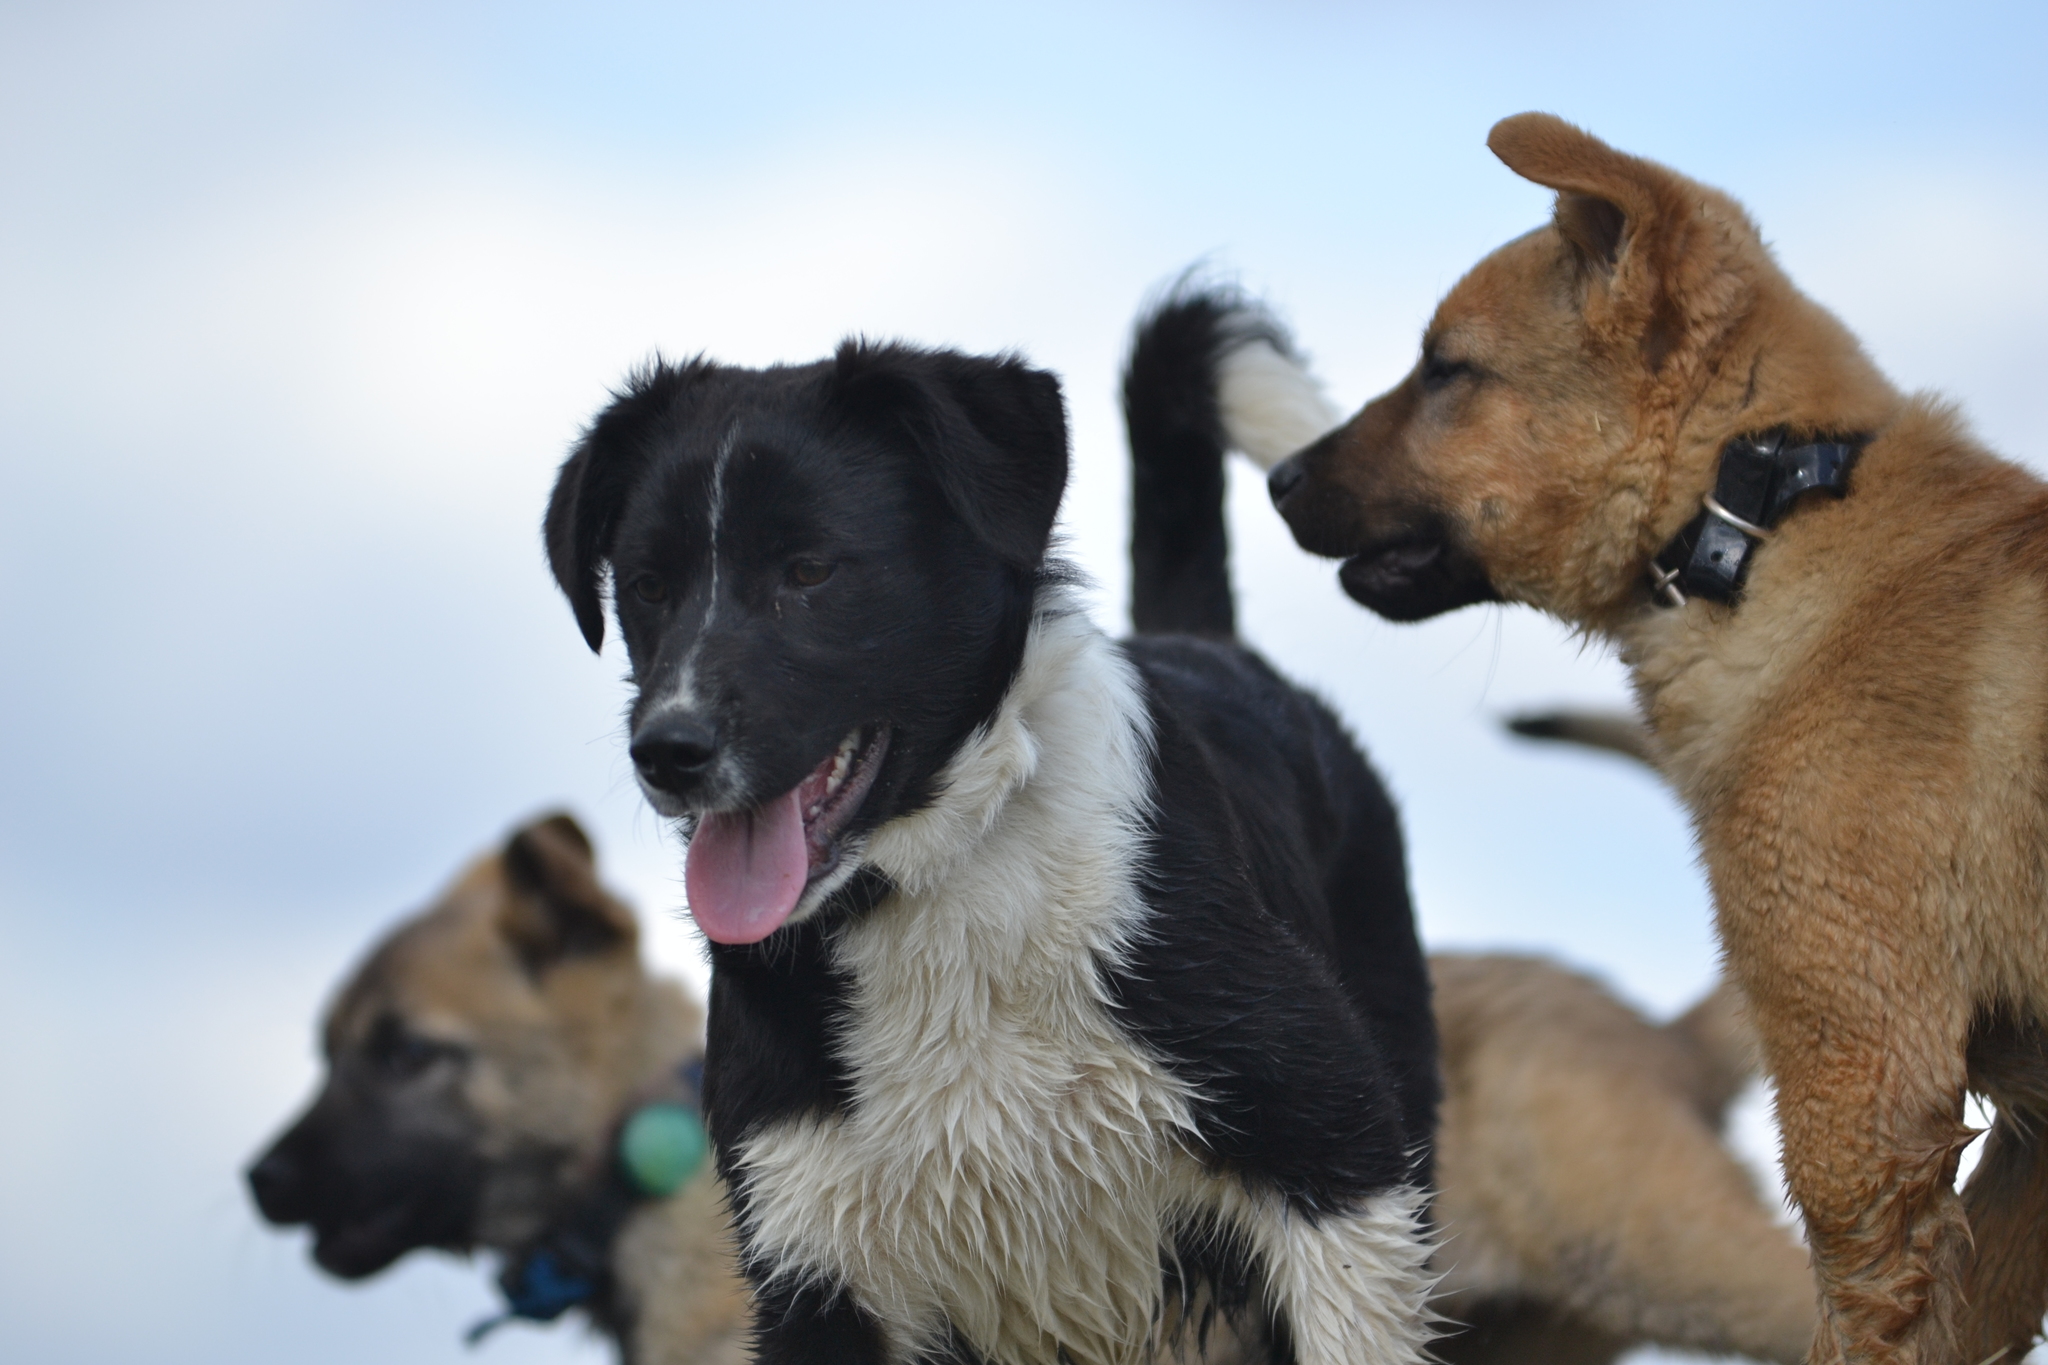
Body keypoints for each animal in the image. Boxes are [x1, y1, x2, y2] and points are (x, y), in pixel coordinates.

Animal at [544, 298, 1441, 1365]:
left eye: (809, 570)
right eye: (646, 585)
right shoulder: (816, 1268)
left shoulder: (1337, 1160)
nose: (668, 750)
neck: (939, 882)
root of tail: (1207, 644)